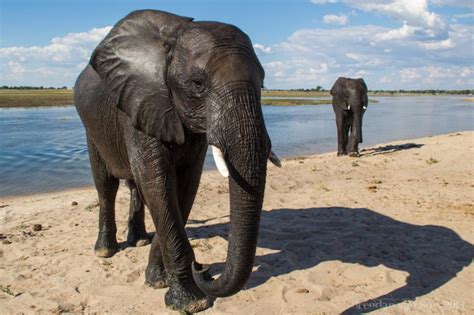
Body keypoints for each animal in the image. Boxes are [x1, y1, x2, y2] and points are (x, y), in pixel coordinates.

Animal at [75, 9, 282, 314]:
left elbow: (183, 186)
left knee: (135, 187)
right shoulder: (139, 103)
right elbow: (157, 183)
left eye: (264, 83)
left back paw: (139, 241)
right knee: (106, 185)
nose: (204, 269)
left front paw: (158, 281)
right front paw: (191, 302)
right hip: (93, 127)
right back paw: (105, 251)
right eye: (198, 83)